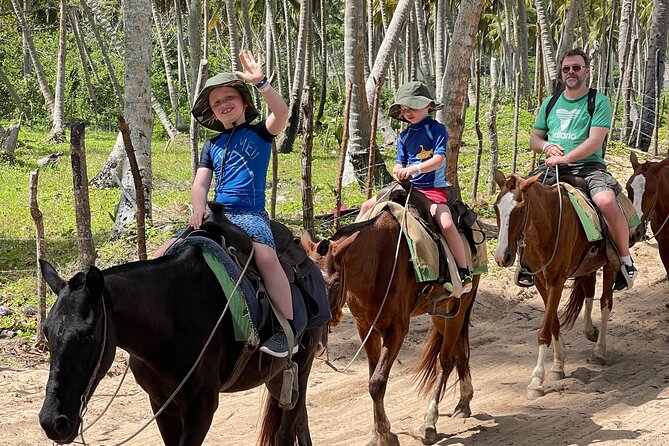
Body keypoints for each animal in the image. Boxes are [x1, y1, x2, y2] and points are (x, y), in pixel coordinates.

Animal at [37, 237, 328, 446]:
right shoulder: (161, 405)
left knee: (286, 431)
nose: (53, 422)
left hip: (303, 362)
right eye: (47, 332)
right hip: (279, 374)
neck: (169, 322)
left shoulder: (202, 408)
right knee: (299, 419)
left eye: (88, 334)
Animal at [298, 209, 480, 446]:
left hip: (459, 307)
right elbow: (371, 377)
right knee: (459, 350)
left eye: (336, 283)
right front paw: (377, 434)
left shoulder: (396, 330)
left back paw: (429, 423)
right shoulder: (365, 329)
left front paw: (386, 435)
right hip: (443, 312)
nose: (315, 343)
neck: (376, 264)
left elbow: (377, 382)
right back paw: (464, 401)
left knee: (446, 361)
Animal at [488, 169, 620, 398]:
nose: (502, 257)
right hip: (586, 267)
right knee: (589, 291)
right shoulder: (541, 282)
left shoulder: (556, 281)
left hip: (610, 265)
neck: (547, 225)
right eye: (497, 207)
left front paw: (536, 381)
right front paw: (558, 366)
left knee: (605, 302)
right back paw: (590, 331)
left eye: (520, 210)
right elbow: (553, 323)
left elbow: (544, 331)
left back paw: (599, 351)